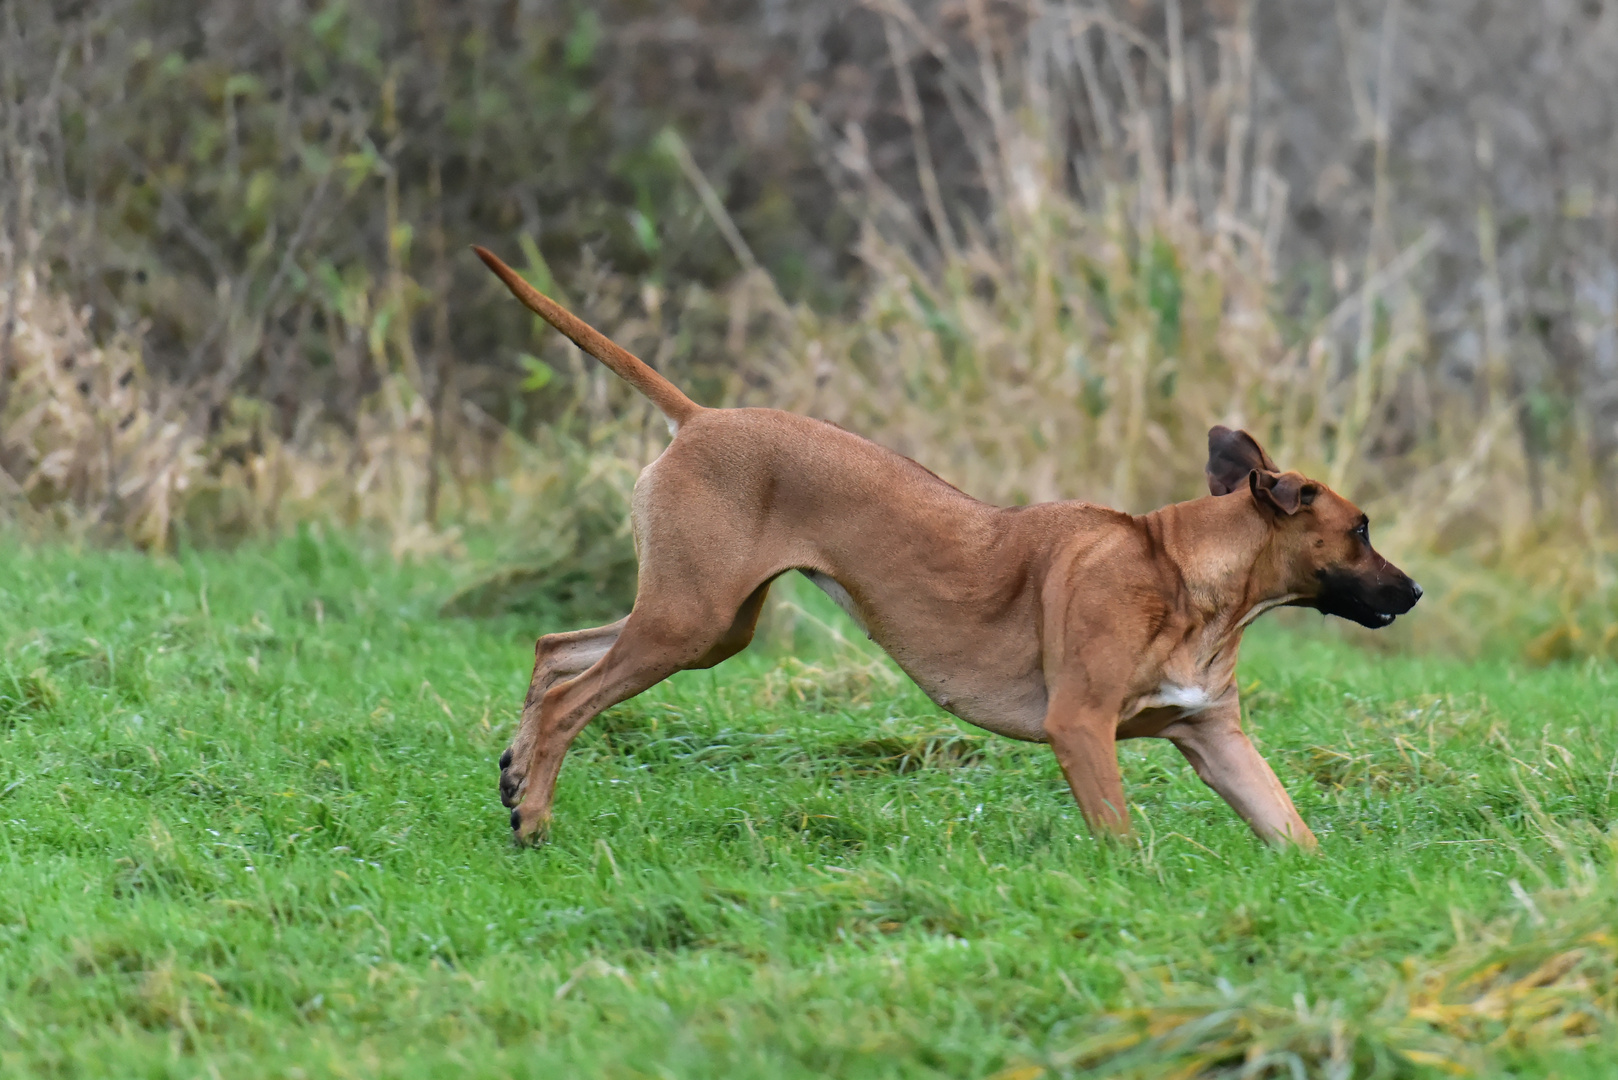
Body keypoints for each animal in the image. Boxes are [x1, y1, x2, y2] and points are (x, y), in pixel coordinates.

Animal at [472, 241, 1423, 848]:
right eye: (1362, 529)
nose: (1413, 592)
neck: (1185, 577)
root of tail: (701, 417)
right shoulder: (1081, 726)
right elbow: (1122, 840)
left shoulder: (1216, 738)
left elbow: (1297, 838)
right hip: (688, 618)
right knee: (572, 697)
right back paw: (535, 819)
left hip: (705, 625)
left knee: (555, 648)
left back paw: (517, 774)